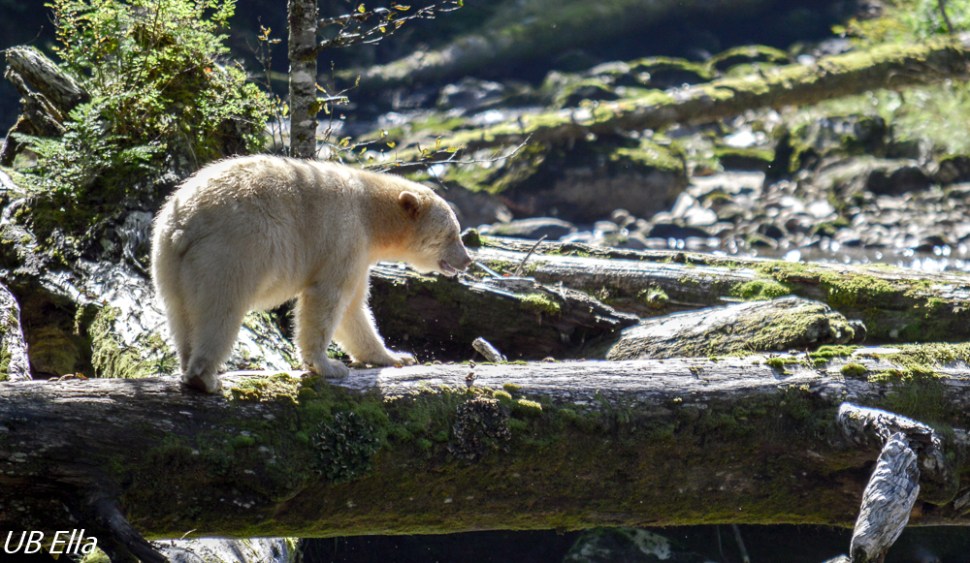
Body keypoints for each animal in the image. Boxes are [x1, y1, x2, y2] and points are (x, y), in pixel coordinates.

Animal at [151, 155, 473, 393]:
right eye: (451, 234)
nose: (467, 259)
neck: (370, 212)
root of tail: (186, 225)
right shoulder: (344, 236)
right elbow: (328, 299)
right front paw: (329, 366)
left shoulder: (360, 254)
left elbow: (354, 310)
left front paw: (396, 356)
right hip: (232, 252)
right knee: (221, 310)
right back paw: (205, 378)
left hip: (166, 259)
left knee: (180, 313)